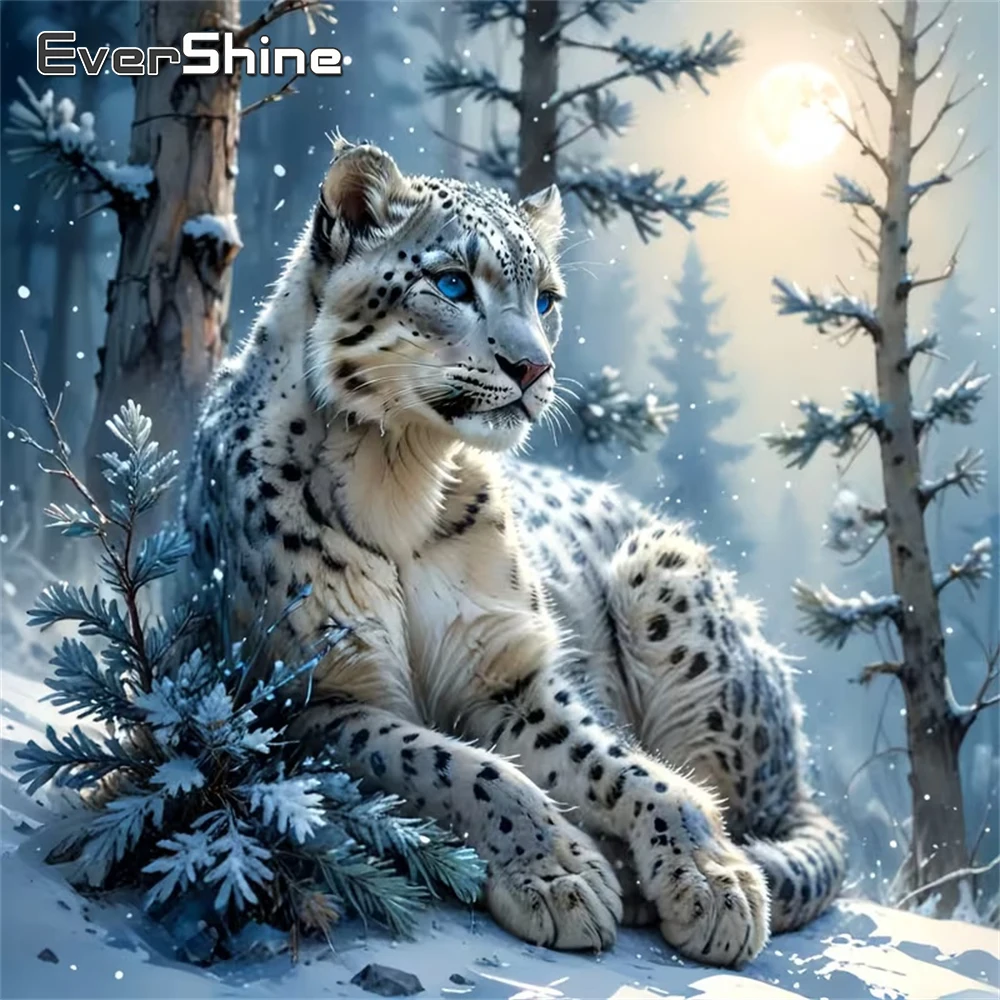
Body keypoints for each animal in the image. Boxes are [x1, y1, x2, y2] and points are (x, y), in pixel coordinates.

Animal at [183, 136, 846, 968]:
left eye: (547, 299)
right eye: (451, 282)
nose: (534, 368)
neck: (400, 478)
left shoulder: (506, 665)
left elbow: (614, 761)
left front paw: (711, 879)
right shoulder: (305, 696)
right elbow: (451, 763)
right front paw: (561, 874)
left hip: (664, 567)